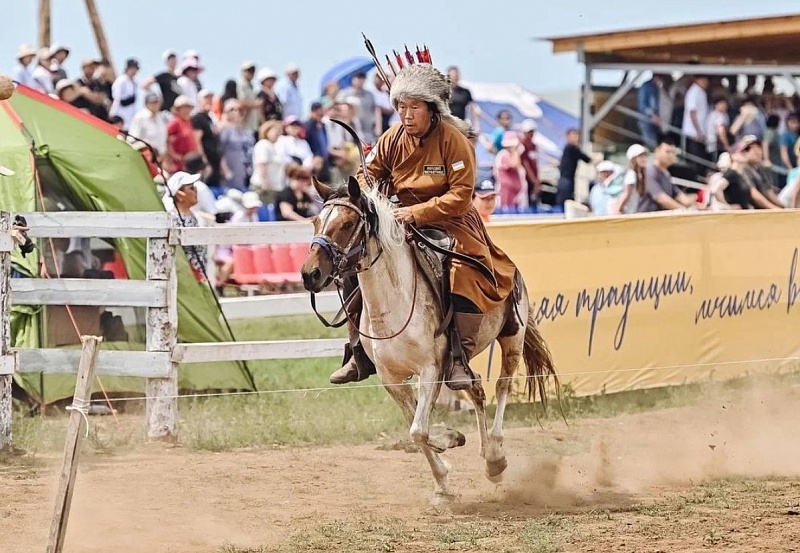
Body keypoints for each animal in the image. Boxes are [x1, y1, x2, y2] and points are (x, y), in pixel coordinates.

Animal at [300, 177, 556, 504]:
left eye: (346, 224)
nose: (310, 274)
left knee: (502, 387)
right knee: (476, 390)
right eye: (316, 221)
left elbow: (418, 431)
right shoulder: (392, 379)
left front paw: (450, 440)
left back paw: (496, 456)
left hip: (512, 338)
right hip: (461, 364)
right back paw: (486, 453)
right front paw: (443, 482)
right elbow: (416, 429)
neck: (393, 303)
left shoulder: (430, 370)